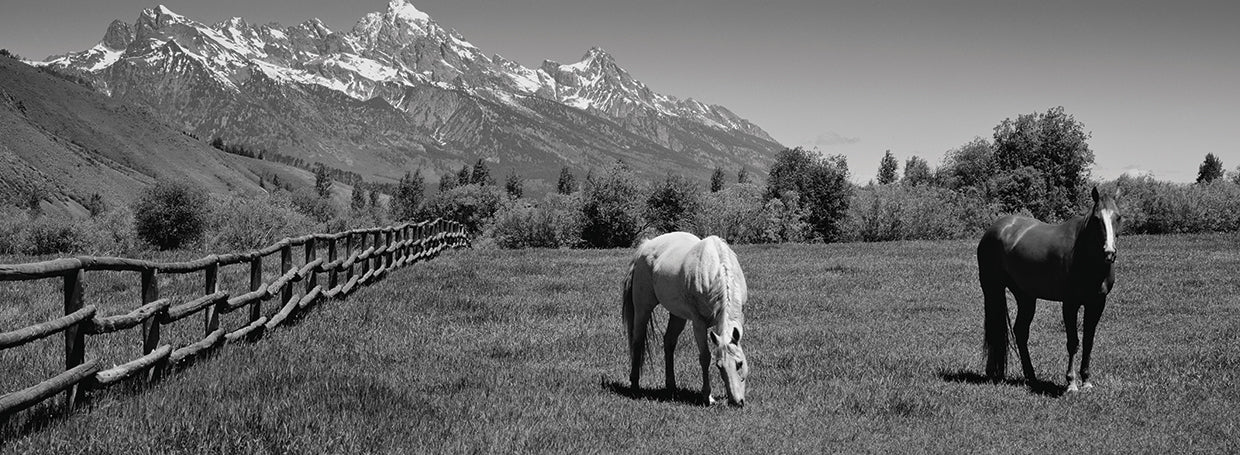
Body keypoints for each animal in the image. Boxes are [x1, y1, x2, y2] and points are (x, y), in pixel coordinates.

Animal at [622, 232, 749, 406]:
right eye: (719, 366)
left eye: (739, 363)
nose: (736, 402)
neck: (716, 269)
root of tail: (645, 246)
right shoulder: (698, 323)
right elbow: (705, 357)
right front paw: (707, 397)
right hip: (643, 308)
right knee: (638, 341)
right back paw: (635, 385)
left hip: (677, 316)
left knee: (669, 342)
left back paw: (671, 387)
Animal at [977, 186, 1121, 392]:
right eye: (1096, 218)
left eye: (1118, 217)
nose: (1109, 252)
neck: (1086, 257)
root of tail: (996, 228)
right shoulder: (1070, 304)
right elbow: (1073, 342)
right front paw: (1071, 383)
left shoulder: (1097, 303)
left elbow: (1088, 341)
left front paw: (1086, 381)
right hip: (992, 289)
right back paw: (995, 373)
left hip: (1025, 296)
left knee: (1021, 332)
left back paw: (1031, 377)